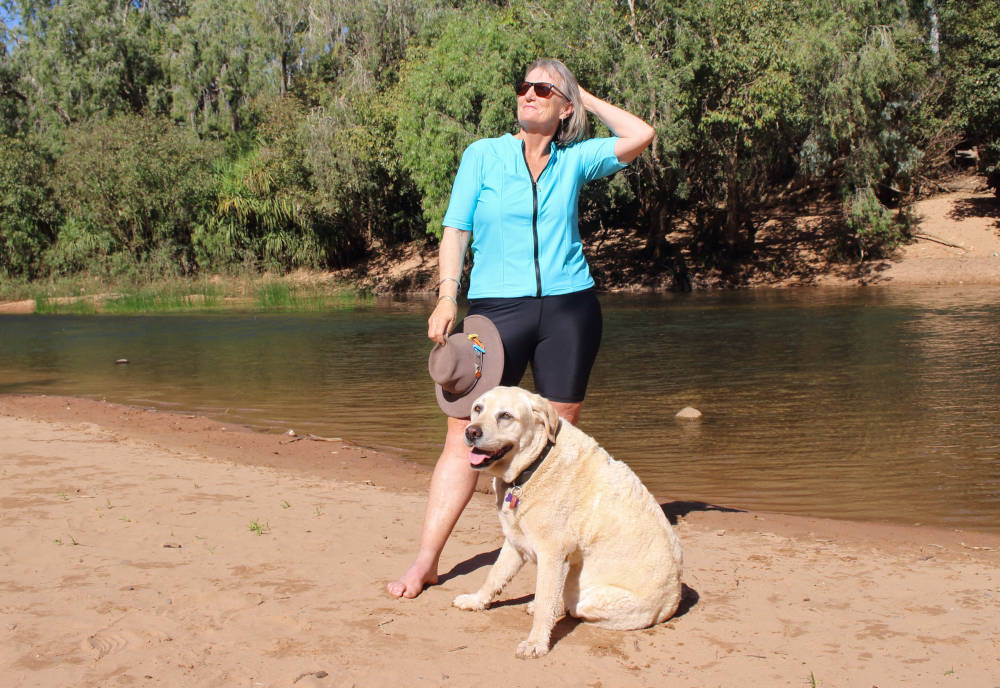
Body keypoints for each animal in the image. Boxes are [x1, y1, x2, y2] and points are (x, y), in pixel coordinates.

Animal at [456, 384, 684, 660]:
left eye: (506, 416)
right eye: (478, 408)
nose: (471, 431)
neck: (535, 464)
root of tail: (674, 603)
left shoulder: (552, 554)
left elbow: (546, 602)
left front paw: (536, 643)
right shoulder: (515, 541)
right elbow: (494, 576)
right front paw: (476, 601)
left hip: (583, 592)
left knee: (567, 605)